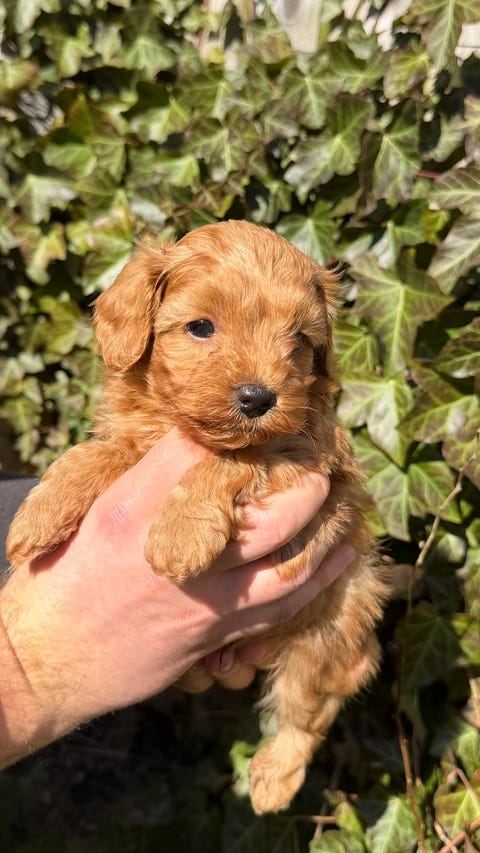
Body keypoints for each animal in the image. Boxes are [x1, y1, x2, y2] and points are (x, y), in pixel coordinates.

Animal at [7, 220, 388, 814]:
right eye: (201, 328)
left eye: (298, 341)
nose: (258, 398)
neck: (179, 425)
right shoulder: (134, 440)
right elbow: (95, 453)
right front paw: (38, 516)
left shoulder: (311, 459)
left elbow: (233, 459)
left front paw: (179, 535)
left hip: (328, 637)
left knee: (309, 712)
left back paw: (273, 781)